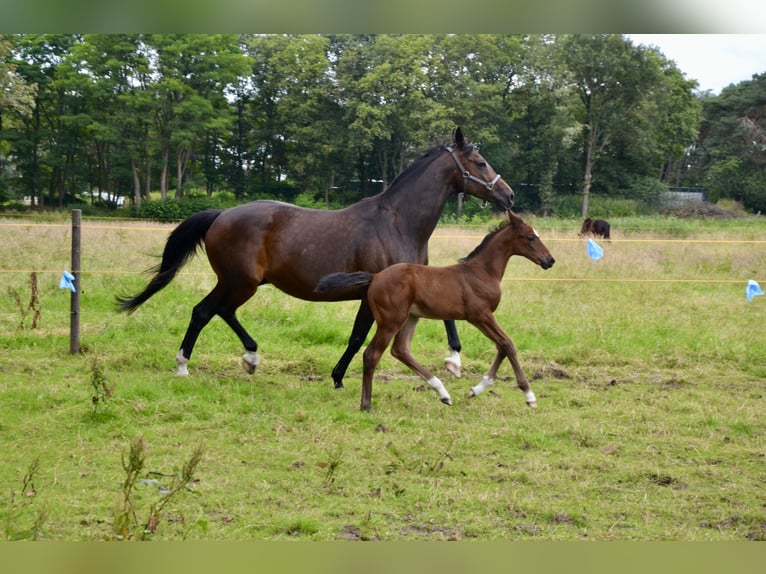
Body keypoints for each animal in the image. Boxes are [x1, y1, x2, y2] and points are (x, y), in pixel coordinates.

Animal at [117, 128, 516, 390]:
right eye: (480, 162)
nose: (509, 195)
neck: (398, 222)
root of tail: (221, 214)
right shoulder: (377, 292)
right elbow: (357, 338)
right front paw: (339, 378)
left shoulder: (412, 283)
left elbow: (437, 320)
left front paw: (454, 360)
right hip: (241, 282)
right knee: (209, 311)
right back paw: (200, 363)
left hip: (238, 282)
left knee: (213, 311)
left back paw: (233, 359)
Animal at [316, 209, 556, 412]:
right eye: (530, 237)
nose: (550, 260)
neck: (482, 271)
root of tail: (375, 277)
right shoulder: (480, 315)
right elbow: (507, 344)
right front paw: (529, 395)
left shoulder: (483, 317)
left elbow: (501, 347)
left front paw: (475, 390)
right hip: (391, 320)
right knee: (372, 354)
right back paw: (366, 405)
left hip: (411, 317)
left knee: (400, 350)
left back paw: (443, 393)